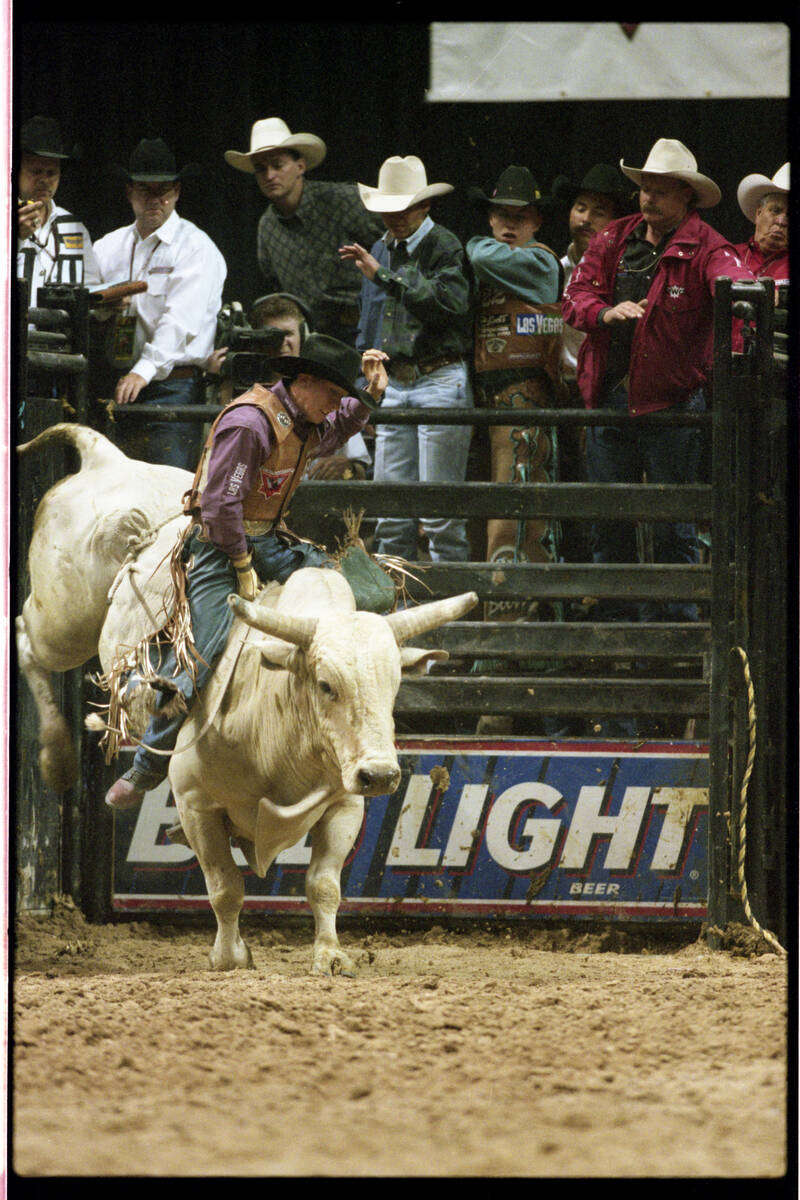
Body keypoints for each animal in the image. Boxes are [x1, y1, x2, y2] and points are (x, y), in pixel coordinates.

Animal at [17, 422, 482, 974]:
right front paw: (230, 955)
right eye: (325, 684)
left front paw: (330, 955)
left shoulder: (346, 804)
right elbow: (225, 888)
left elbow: (323, 885)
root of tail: (108, 458)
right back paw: (57, 758)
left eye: (393, 683)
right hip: (62, 621)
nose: (382, 775)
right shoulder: (197, 805)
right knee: (24, 635)